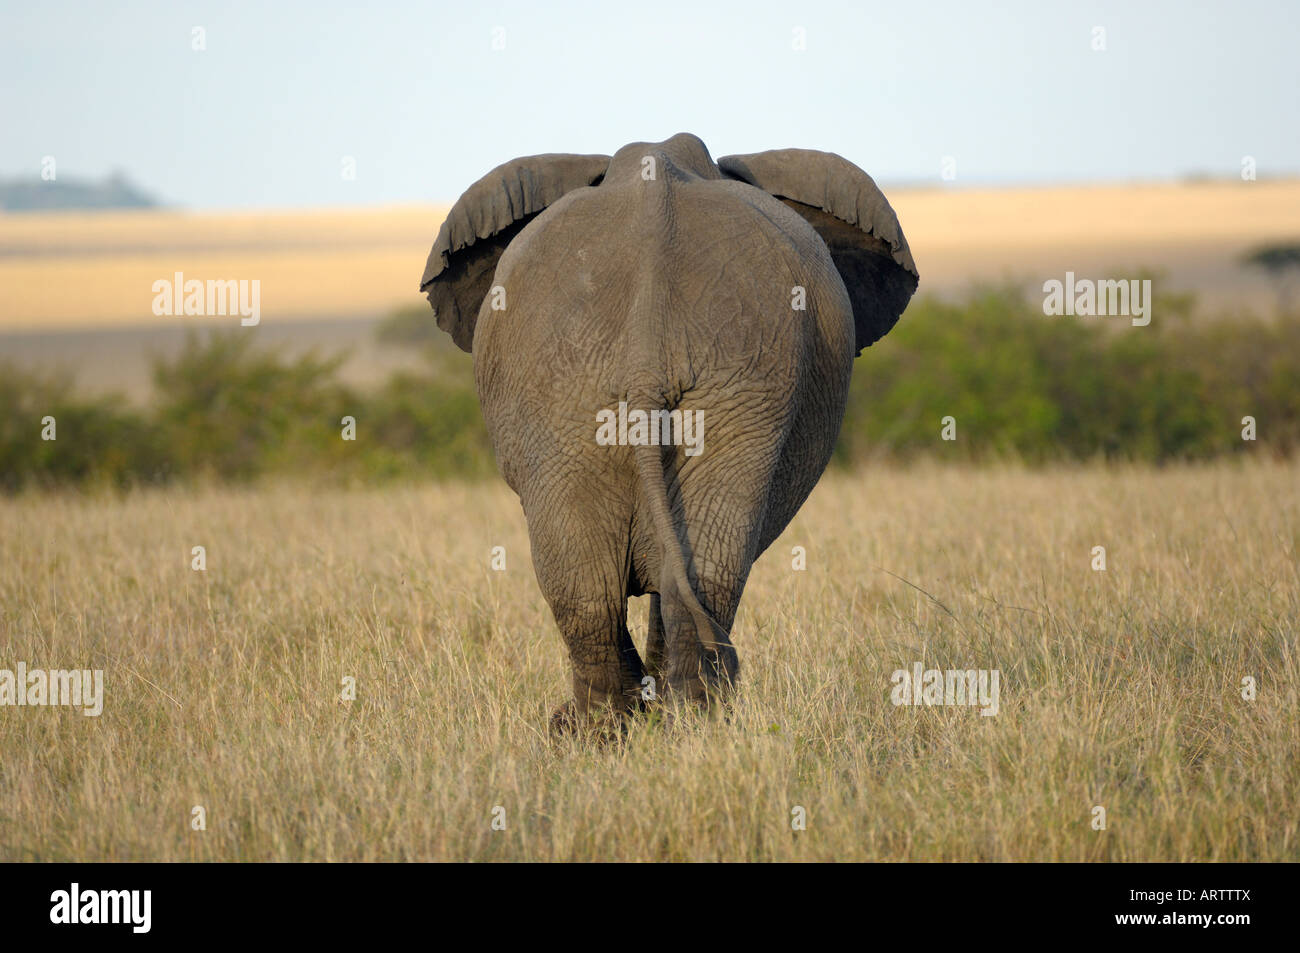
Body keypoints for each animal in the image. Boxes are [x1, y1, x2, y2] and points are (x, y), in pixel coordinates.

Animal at [416, 131, 915, 728]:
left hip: (704, 385)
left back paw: (643, 723)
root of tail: (646, 346)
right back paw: (649, 722)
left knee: (647, 576)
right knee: (635, 578)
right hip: (610, 387)